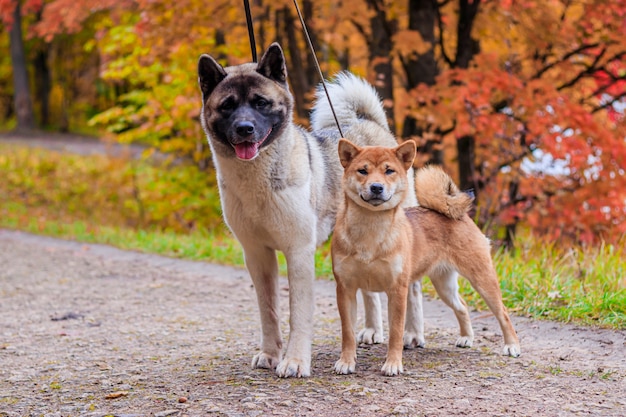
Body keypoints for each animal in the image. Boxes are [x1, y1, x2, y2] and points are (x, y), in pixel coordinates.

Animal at [197, 43, 416, 376]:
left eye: (261, 103)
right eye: (227, 106)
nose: (245, 128)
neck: (257, 180)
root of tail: (368, 123)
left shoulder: (298, 251)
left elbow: (297, 312)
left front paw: (295, 361)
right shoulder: (257, 255)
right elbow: (269, 311)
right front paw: (270, 353)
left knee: (413, 290)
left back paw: (413, 334)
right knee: (369, 290)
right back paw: (372, 330)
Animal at [332, 139, 520, 374]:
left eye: (389, 171)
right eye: (362, 171)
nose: (376, 187)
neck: (370, 232)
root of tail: (457, 215)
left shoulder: (397, 290)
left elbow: (396, 333)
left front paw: (393, 364)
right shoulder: (346, 289)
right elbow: (347, 333)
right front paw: (346, 362)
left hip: (482, 279)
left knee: (502, 312)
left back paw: (512, 345)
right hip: (444, 285)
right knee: (462, 306)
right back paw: (467, 337)